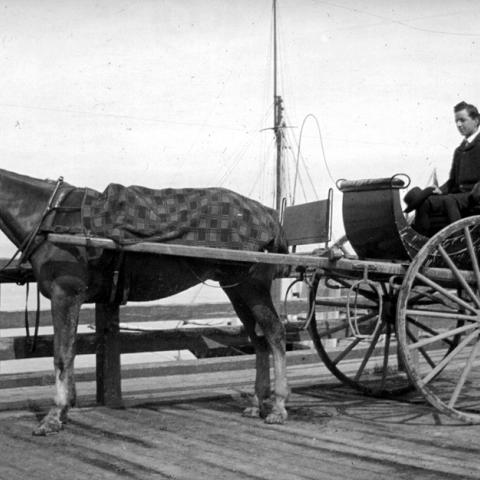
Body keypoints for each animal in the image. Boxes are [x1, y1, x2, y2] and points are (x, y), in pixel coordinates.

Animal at [0, 168, 290, 436]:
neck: (52, 219)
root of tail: (269, 215)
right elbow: (69, 351)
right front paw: (65, 409)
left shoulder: (66, 295)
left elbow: (62, 355)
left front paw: (54, 415)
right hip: (236, 289)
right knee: (258, 339)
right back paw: (257, 402)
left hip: (252, 287)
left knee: (275, 334)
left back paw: (278, 406)